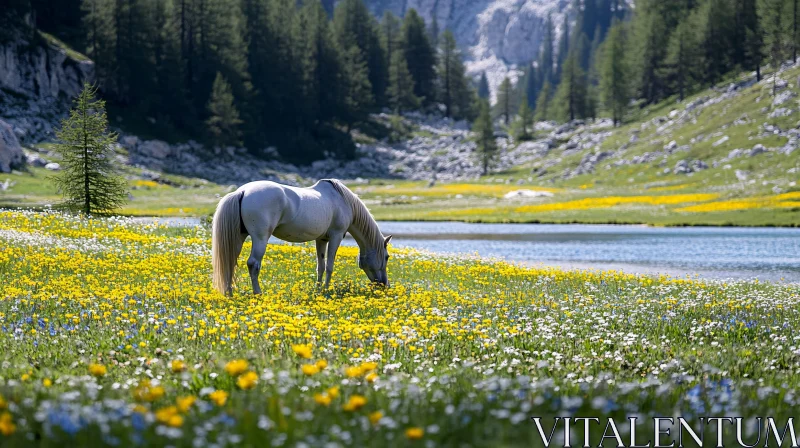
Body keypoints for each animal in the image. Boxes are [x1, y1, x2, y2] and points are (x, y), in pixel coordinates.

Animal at [209, 178, 390, 294]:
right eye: (387, 257)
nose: (384, 285)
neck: (342, 200)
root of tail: (242, 191)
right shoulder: (336, 236)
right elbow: (330, 266)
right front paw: (326, 290)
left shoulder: (321, 239)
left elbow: (320, 266)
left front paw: (318, 290)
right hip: (260, 238)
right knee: (253, 264)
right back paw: (258, 293)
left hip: (239, 237)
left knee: (230, 261)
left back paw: (229, 293)